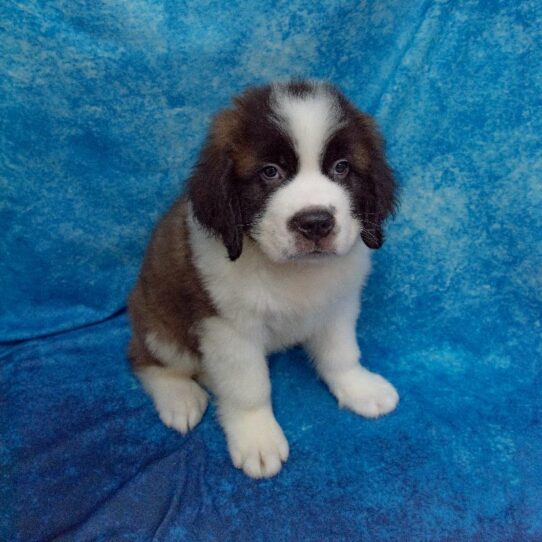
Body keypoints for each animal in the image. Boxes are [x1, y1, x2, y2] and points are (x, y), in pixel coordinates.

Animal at [127, 79, 400, 480]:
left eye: (341, 168)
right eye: (270, 172)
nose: (315, 223)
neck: (293, 271)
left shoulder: (338, 305)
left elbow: (341, 354)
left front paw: (358, 387)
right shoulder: (228, 328)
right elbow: (249, 387)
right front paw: (257, 436)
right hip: (159, 325)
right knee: (146, 361)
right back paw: (180, 397)